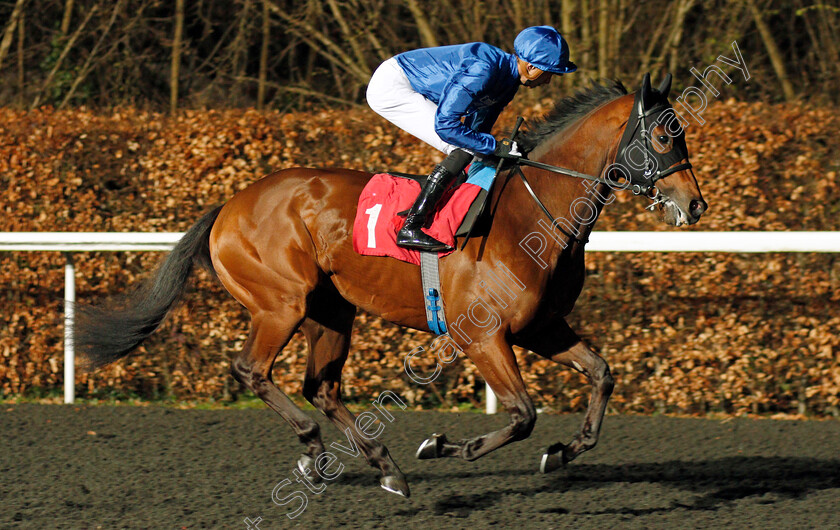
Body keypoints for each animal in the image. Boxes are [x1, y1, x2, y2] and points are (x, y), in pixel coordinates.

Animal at [79, 74, 704, 496]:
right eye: (664, 135)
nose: (694, 204)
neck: (536, 215)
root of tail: (230, 204)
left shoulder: (540, 327)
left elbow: (601, 375)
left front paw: (561, 453)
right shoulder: (482, 336)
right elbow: (522, 413)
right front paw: (450, 445)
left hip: (332, 311)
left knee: (322, 387)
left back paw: (380, 465)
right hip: (281, 304)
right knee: (253, 371)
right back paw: (316, 446)